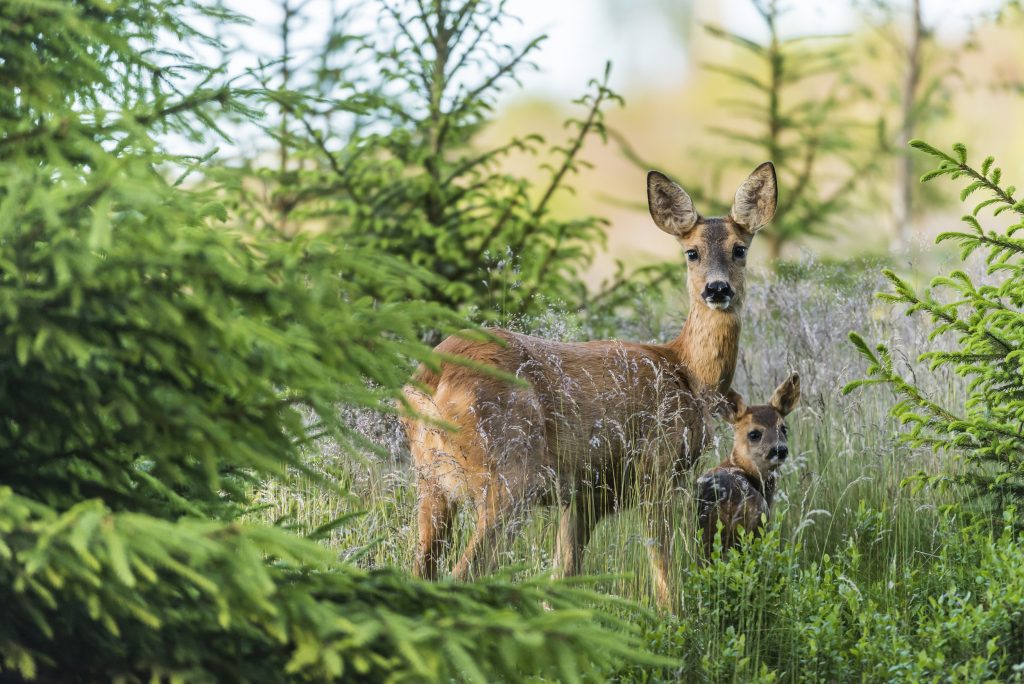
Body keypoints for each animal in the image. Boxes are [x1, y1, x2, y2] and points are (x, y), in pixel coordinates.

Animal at [399, 162, 774, 606]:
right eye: (691, 252)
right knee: (462, 573)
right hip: (509, 473)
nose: (717, 289)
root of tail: (430, 380)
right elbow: (664, 565)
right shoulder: (657, 465)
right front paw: (674, 617)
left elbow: (563, 574)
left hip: (430, 483)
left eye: (740, 249)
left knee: (421, 570)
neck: (688, 372)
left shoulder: (584, 493)